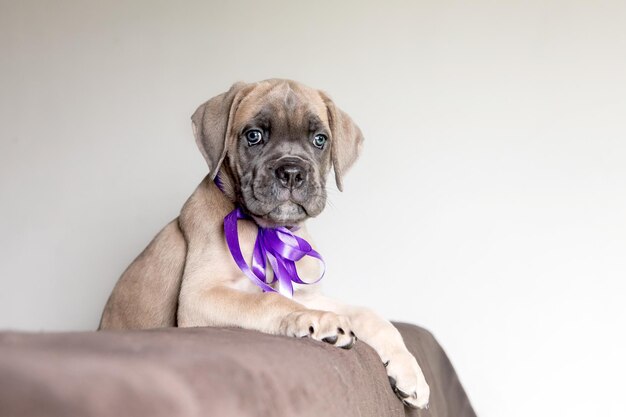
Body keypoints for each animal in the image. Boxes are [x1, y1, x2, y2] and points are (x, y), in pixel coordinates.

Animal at [100, 78, 428, 406]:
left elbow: (366, 313)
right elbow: (268, 299)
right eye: (254, 136)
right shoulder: (200, 298)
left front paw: (410, 371)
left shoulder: (306, 293)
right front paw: (319, 319)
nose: (292, 172)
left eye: (320, 139)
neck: (267, 230)